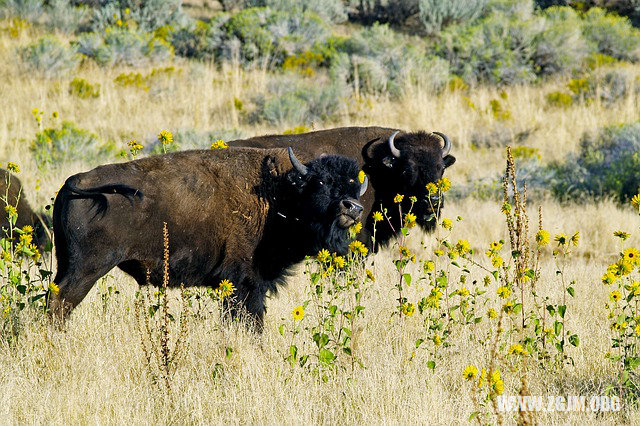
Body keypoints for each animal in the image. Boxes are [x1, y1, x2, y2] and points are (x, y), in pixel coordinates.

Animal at [50, 147, 368, 330]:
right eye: (322, 182)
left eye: (354, 186)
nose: (353, 207)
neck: (278, 193)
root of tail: (74, 181)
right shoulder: (244, 282)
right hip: (87, 269)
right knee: (61, 302)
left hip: (66, 262)